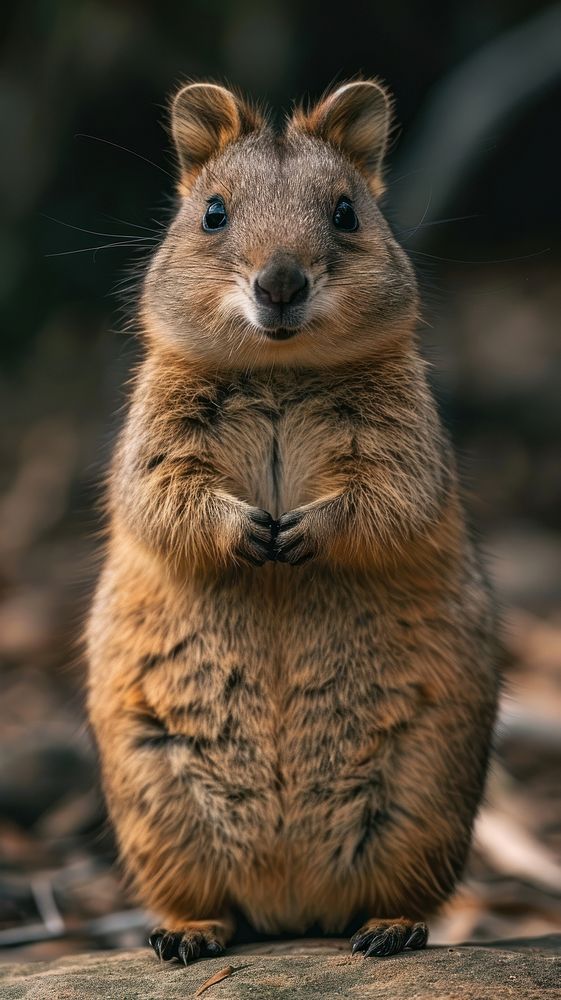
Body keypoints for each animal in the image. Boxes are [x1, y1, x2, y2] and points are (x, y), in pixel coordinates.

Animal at [87, 80, 500, 964]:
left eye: (346, 212)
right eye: (211, 212)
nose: (279, 283)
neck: (279, 369)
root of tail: (290, 906)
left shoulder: (406, 451)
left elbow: (384, 502)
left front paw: (303, 531)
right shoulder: (154, 447)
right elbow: (163, 502)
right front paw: (248, 532)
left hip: (420, 801)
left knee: (392, 894)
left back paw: (388, 930)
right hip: (160, 809)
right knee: (209, 904)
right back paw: (187, 935)